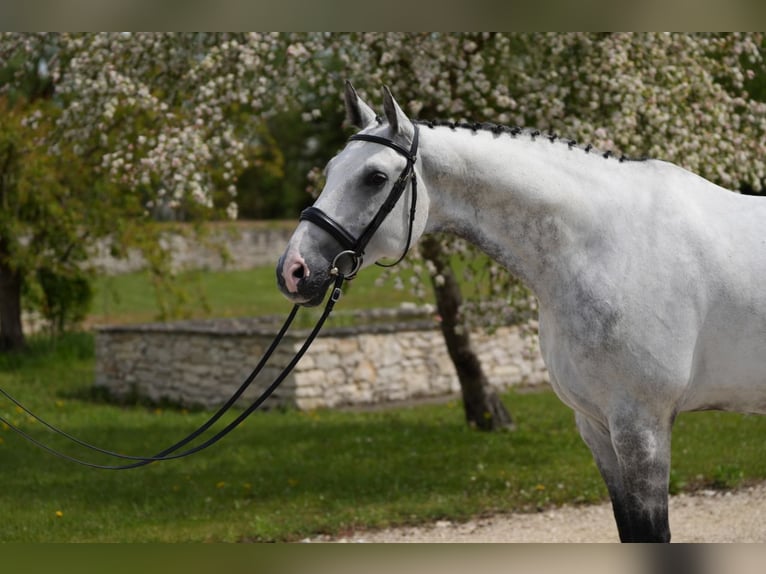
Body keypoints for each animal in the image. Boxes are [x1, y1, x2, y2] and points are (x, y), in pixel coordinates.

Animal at [277, 82, 766, 542]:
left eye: (375, 177)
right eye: (329, 171)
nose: (293, 270)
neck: (608, 245)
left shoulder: (641, 428)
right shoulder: (596, 426)